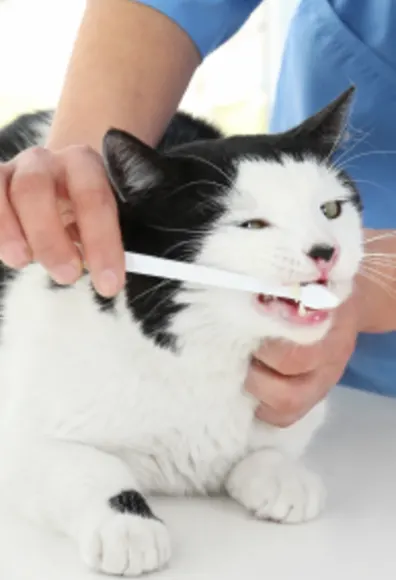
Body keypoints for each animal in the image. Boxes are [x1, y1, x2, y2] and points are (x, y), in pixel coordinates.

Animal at [0, 86, 362, 576]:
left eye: (331, 210)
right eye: (252, 225)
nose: (326, 250)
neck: (204, 359)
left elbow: (270, 450)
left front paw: (282, 476)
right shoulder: (19, 438)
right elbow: (90, 467)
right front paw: (128, 526)